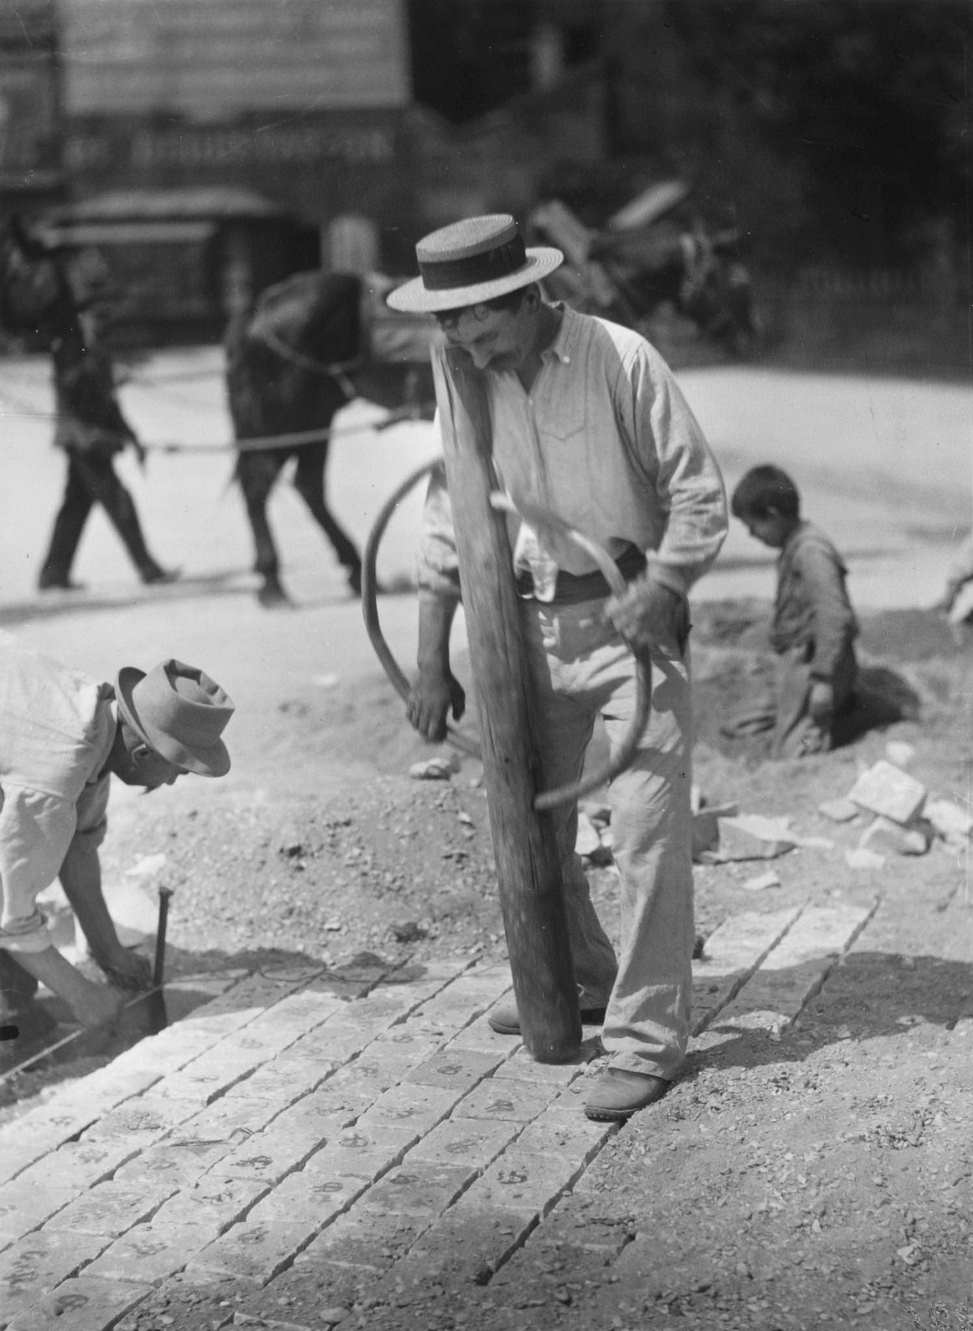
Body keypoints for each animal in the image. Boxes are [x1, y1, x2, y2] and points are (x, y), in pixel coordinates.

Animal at [224, 272, 433, 606]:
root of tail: (260, 308)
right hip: (285, 421)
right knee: (259, 483)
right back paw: (273, 583)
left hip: (315, 417)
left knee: (307, 486)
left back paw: (354, 568)